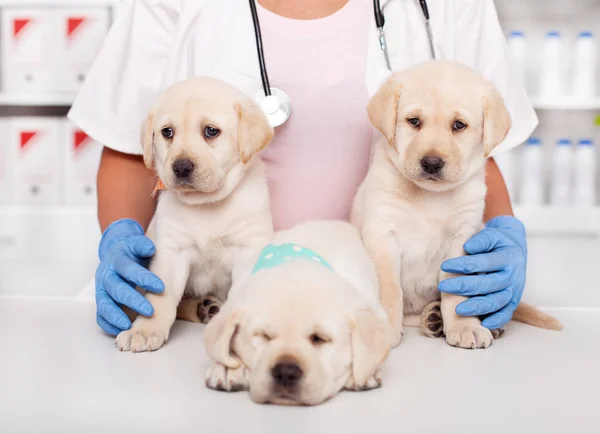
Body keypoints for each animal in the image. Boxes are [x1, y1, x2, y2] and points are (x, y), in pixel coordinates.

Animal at [116, 75, 276, 352]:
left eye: (211, 131)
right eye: (167, 132)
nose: (181, 166)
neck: (207, 205)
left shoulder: (249, 248)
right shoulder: (171, 252)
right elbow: (160, 298)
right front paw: (145, 331)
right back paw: (203, 307)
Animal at [352, 60, 564, 350]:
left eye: (459, 125)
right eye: (414, 121)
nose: (431, 163)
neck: (429, 197)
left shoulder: (462, 239)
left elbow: (456, 291)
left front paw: (464, 326)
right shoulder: (382, 234)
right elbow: (388, 287)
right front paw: (383, 328)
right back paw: (432, 319)